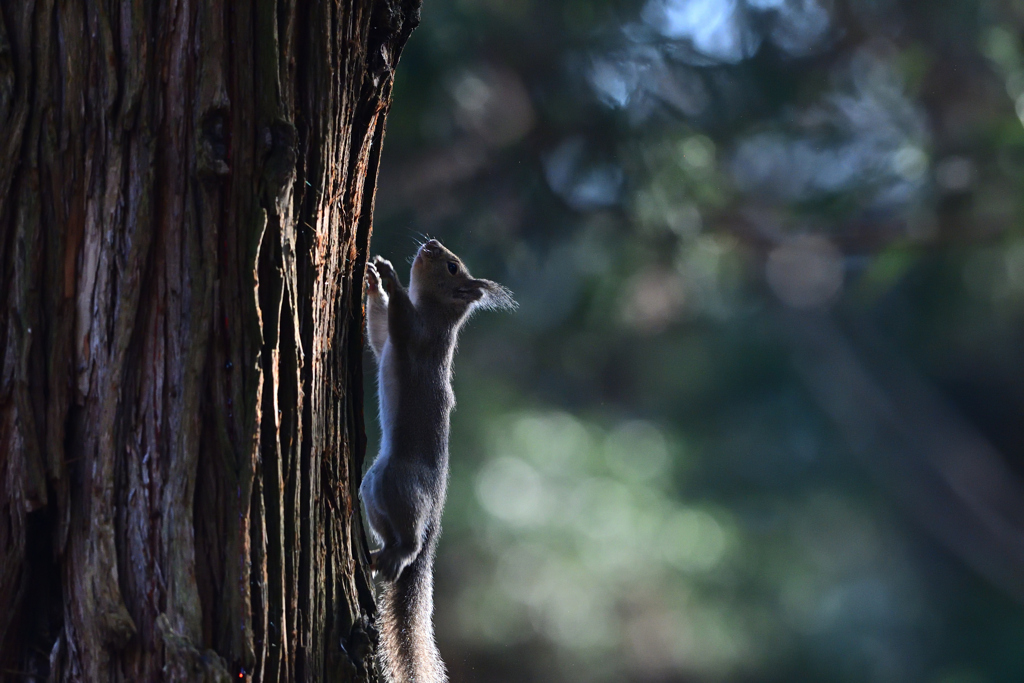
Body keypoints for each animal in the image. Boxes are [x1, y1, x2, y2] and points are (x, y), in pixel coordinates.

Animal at [364, 237, 516, 679]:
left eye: (452, 267)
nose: (430, 243)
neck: (436, 313)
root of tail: (432, 526)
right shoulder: (388, 340)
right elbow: (378, 331)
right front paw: (372, 281)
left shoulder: (420, 336)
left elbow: (399, 319)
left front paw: (389, 278)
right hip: (373, 487)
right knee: (393, 537)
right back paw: (381, 555)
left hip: (400, 483)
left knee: (410, 540)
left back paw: (402, 552)